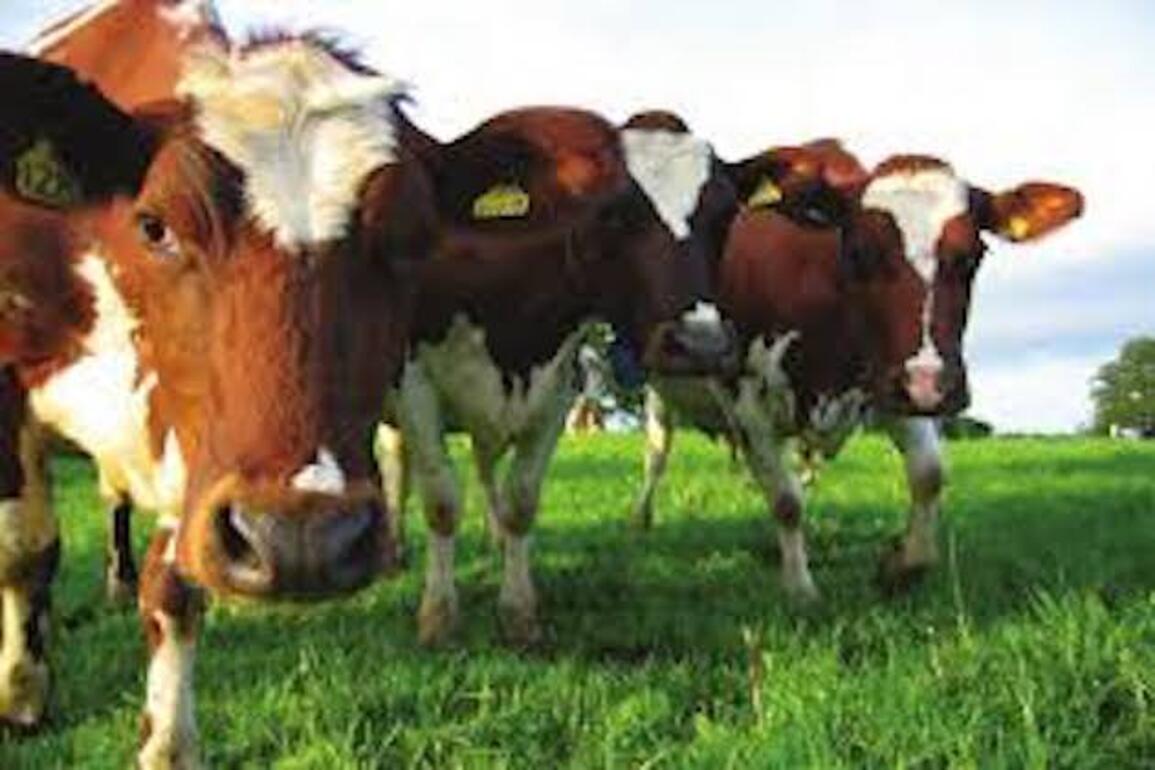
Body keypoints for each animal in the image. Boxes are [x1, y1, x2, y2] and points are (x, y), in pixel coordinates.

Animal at [0, 38, 429, 768]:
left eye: (410, 241)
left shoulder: (198, 444)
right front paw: (20, 697)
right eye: (155, 225)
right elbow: (25, 547)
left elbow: (174, 584)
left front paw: (167, 745)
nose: (301, 538)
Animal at [630, 131, 1083, 601]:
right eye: (860, 252)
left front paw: (901, 565)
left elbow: (929, 474)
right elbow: (786, 502)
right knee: (658, 451)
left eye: (972, 255)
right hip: (659, 391)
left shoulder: (894, 380)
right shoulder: (748, 399)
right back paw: (642, 517)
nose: (931, 386)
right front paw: (800, 589)